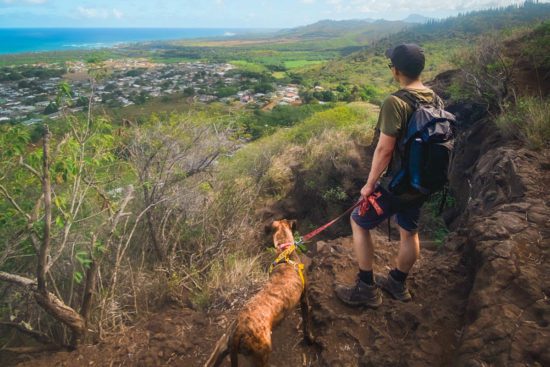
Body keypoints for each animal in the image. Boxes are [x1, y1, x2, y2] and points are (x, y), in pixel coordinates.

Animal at [205, 220, 314, 366]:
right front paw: (309, 339)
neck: (285, 252)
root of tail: (238, 331)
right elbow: (306, 323)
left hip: (223, 345)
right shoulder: (304, 298)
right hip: (261, 355)